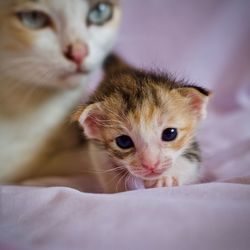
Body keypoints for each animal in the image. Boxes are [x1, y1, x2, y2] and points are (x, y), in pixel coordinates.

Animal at [73, 54, 211, 191]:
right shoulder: (96, 149)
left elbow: (190, 161)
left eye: (170, 134)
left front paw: (166, 178)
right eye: (124, 141)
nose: (151, 165)